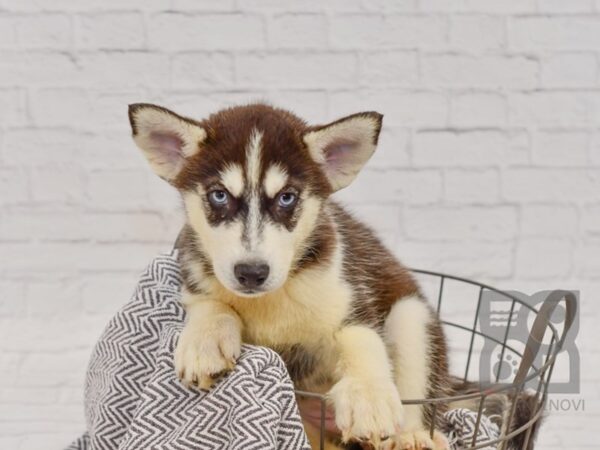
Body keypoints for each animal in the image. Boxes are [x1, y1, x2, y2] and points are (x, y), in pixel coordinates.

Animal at [127, 103, 450, 450]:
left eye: (286, 198)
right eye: (219, 196)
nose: (251, 273)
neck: (272, 298)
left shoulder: (350, 293)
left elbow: (361, 337)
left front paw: (369, 395)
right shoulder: (195, 273)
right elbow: (210, 302)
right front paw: (206, 341)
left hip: (411, 315)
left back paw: (413, 435)